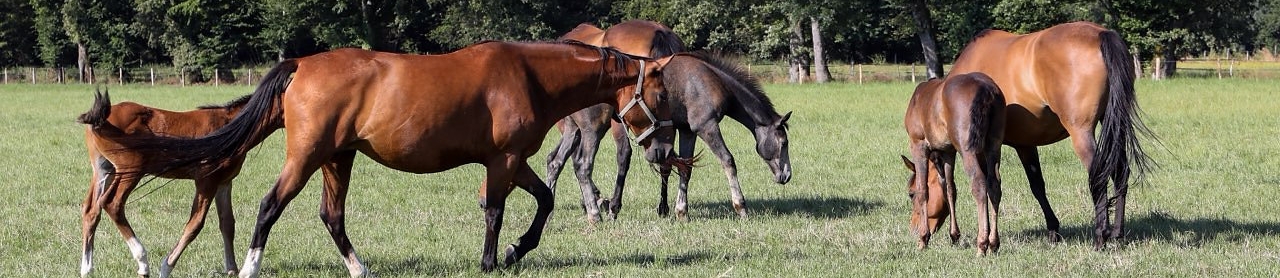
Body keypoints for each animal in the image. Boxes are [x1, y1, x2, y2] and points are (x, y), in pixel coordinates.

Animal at [76, 90, 249, 276]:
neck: (229, 122)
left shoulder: (224, 182)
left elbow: (227, 223)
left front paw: (232, 270)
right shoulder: (208, 180)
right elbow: (196, 223)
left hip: (104, 170)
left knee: (91, 210)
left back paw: (87, 269)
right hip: (130, 171)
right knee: (112, 204)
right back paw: (142, 261)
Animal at [107, 40, 680, 276]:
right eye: (661, 93)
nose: (662, 150)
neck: (528, 74)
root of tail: (301, 65)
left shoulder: (515, 161)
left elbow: (543, 202)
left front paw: (519, 250)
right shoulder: (504, 161)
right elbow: (496, 212)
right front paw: (493, 259)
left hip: (337, 159)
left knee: (331, 216)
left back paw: (360, 269)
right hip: (308, 157)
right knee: (270, 207)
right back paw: (249, 268)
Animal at [542, 20, 788, 222]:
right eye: (784, 143)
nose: (786, 176)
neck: (710, 79)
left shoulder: (687, 131)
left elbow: (684, 167)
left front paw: (680, 211)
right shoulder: (706, 126)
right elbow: (728, 160)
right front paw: (741, 207)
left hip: (574, 130)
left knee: (557, 160)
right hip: (596, 128)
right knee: (587, 163)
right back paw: (599, 208)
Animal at [901, 72, 1008, 253]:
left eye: (910, 193)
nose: (912, 228)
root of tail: (985, 88)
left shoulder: (918, 145)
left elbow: (924, 190)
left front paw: (923, 238)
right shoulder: (948, 152)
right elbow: (949, 189)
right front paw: (954, 235)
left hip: (967, 150)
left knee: (979, 184)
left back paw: (982, 244)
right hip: (993, 146)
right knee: (994, 186)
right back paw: (993, 242)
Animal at [957, 21, 1157, 247]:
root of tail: (1100, 34)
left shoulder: (985, 149)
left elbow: (988, 185)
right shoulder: (1025, 144)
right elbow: (1037, 186)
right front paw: (1053, 229)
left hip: (1082, 133)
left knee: (1098, 176)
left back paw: (1100, 235)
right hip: (1114, 125)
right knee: (1120, 173)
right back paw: (1117, 233)